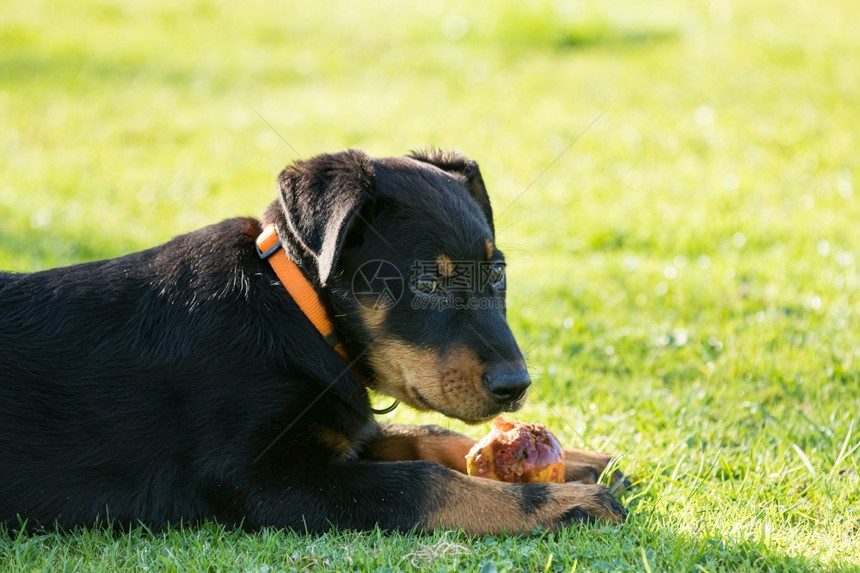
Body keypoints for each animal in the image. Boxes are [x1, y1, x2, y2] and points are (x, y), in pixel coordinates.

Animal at [0, 149, 624, 532]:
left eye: (497, 274)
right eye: (426, 283)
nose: (516, 386)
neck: (298, 310)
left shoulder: (335, 434)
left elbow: (422, 436)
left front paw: (586, 461)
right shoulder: (263, 479)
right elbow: (421, 482)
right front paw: (569, 504)